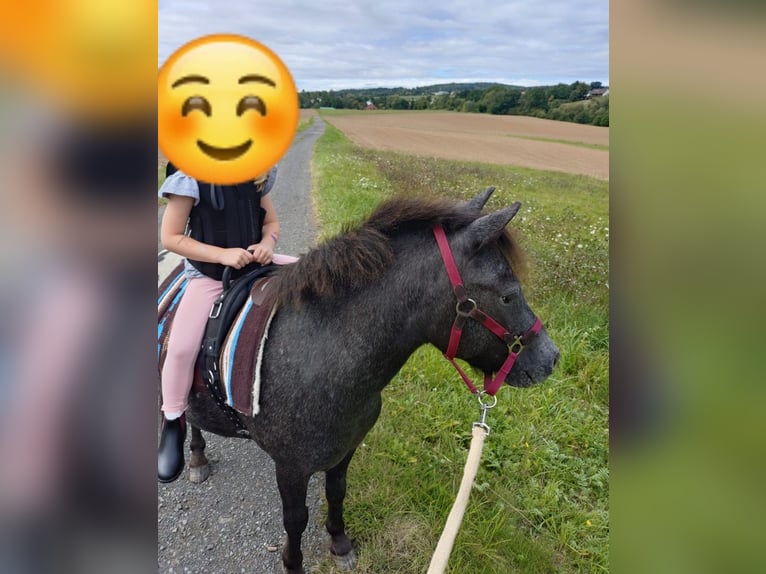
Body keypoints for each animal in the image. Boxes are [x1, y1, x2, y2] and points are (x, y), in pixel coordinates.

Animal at [157, 187, 559, 573]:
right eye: (507, 295)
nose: (551, 358)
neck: (321, 352)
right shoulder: (290, 468)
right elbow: (295, 519)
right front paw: (293, 563)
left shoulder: (345, 449)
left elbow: (337, 492)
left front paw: (339, 543)